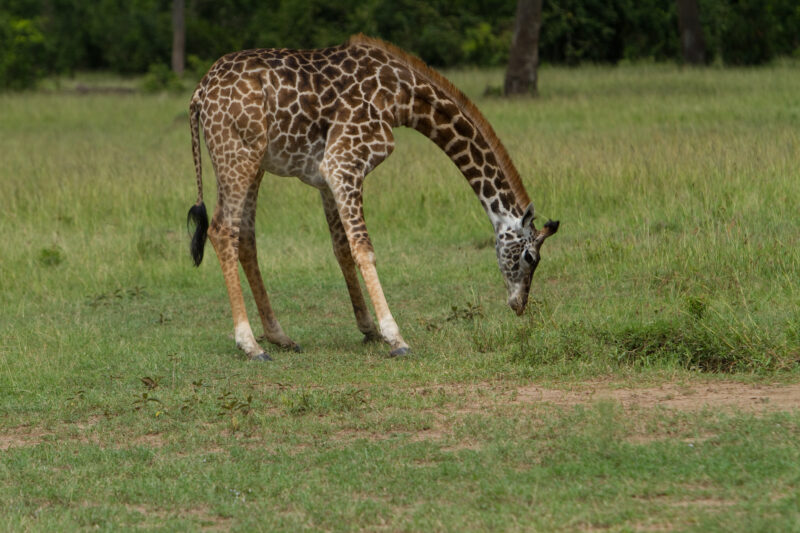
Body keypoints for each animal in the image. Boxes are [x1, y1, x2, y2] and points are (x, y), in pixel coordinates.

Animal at [187, 34, 559, 361]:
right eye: (529, 257)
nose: (519, 305)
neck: (403, 97)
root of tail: (199, 94)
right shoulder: (343, 163)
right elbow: (364, 249)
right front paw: (395, 336)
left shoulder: (326, 177)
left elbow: (341, 249)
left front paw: (369, 328)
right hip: (238, 155)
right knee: (222, 230)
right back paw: (250, 344)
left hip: (253, 161)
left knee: (245, 236)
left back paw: (279, 336)